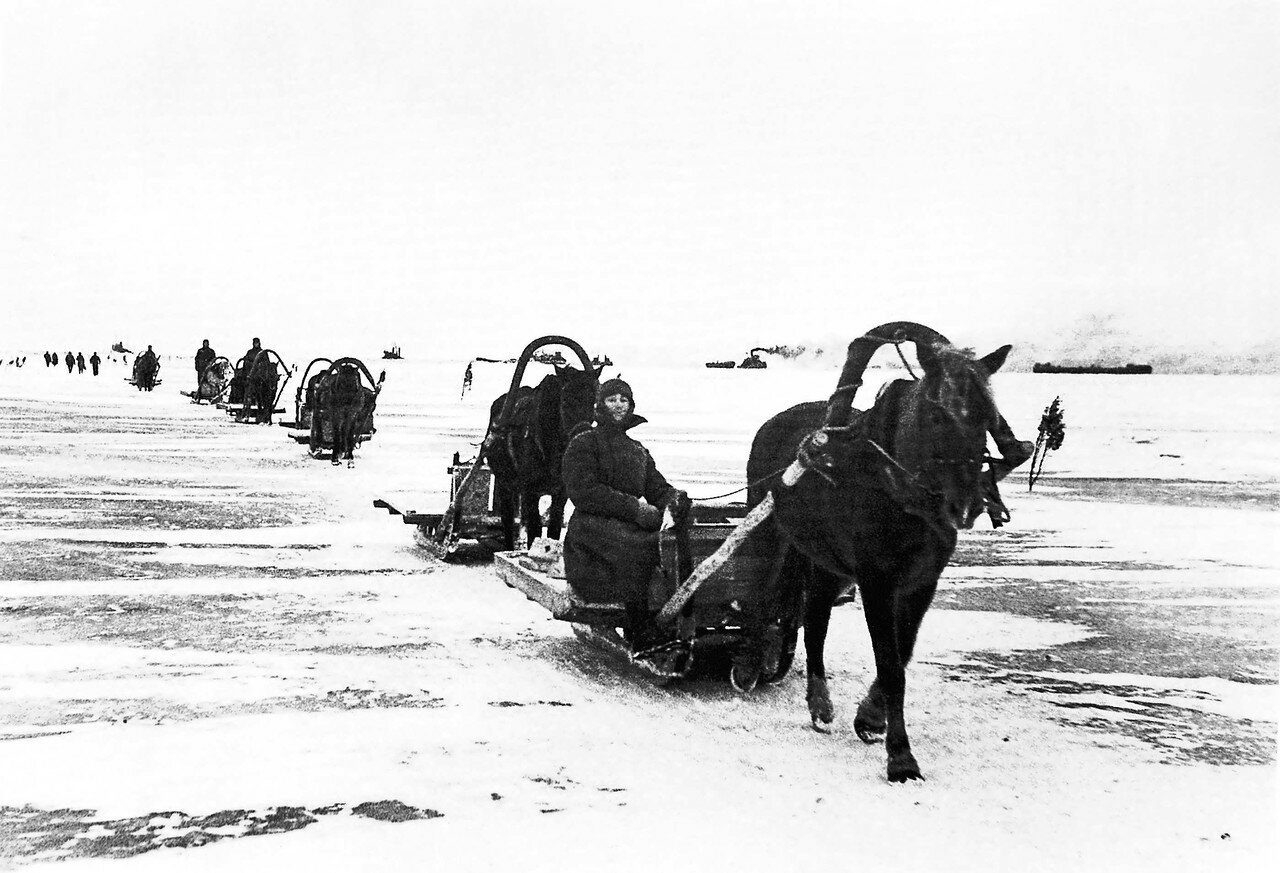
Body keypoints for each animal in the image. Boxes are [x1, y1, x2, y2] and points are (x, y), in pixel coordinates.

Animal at [486, 363, 601, 547]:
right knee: (507, 518)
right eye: (565, 400)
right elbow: (535, 529)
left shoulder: (561, 492)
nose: (582, 435)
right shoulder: (529, 489)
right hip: (504, 482)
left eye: (593, 401)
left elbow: (554, 528)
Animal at [747, 321, 1034, 783]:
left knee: (816, 616)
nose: (967, 505)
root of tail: (772, 423)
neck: (900, 491)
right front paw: (900, 757)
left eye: (987, 417)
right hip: (775, 535)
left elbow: (904, 653)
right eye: (937, 414)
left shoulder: (922, 581)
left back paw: (820, 703)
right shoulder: (876, 580)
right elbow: (890, 664)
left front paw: (869, 717)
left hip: (828, 561)